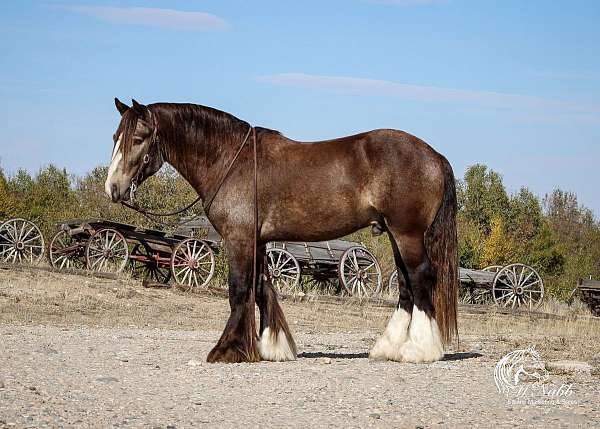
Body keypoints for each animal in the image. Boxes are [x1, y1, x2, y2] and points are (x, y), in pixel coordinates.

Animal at [105, 98, 458, 362]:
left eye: (137, 139)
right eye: (114, 137)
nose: (113, 188)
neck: (230, 161)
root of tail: (434, 155)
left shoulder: (239, 239)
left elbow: (239, 289)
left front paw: (227, 350)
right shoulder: (259, 241)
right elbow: (262, 288)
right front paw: (272, 347)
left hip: (407, 234)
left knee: (420, 279)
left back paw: (420, 350)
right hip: (396, 235)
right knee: (405, 285)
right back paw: (389, 348)